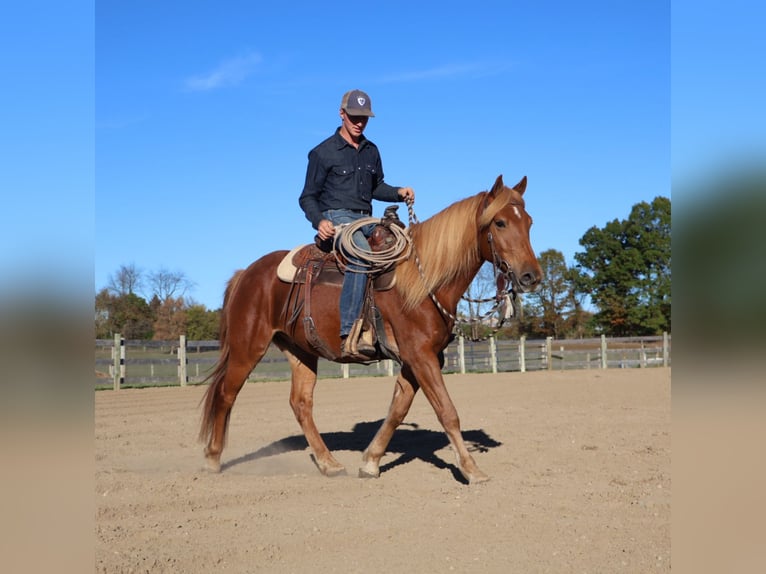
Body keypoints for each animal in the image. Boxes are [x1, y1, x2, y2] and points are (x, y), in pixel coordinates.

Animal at [199, 174, 542, 484]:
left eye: (528, 222)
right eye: (499, 222)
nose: (531, 276)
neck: (421, 280)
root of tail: (246, 274)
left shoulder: (419, 358)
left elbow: (398, 409)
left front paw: (370, 462)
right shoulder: (420, 356)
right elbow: (447, 410)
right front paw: (472, 470)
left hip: (301, 351)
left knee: (301, 403)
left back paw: (329, 464)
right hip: (248, 346)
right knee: (226, 393)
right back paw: (213, 458)